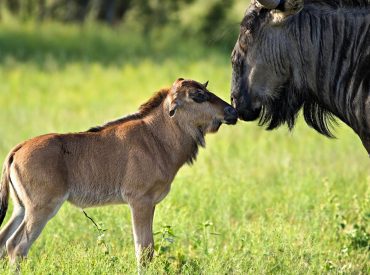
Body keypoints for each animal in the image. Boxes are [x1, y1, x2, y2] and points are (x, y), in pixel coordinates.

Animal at [0, 78, 237, 268]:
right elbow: (144, 252)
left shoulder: (150, 203)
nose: (232, 112)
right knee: (16, 247)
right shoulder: (139, 201)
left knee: (4, 241)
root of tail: (17, 150)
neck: (156, 138)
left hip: (21, 208)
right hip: (41, 208)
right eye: (198, 95)